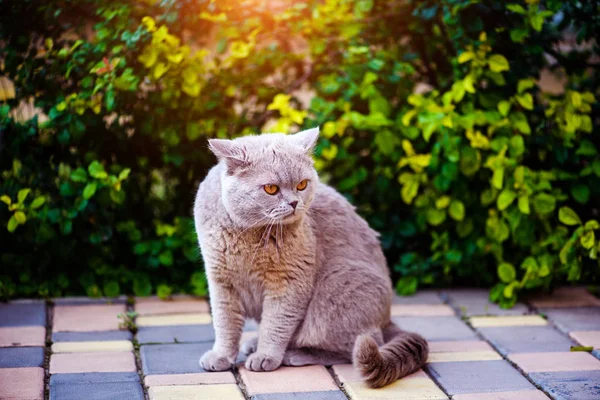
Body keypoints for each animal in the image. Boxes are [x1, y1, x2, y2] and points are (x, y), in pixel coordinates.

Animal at [192, 126, 426, 386]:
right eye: (271, 188)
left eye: (302, 184)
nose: (295, 202)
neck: (249, 235)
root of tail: (387, 320)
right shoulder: (221, 281)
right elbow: (225, 324)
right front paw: (221, 357)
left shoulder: (290, 281)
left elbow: (277, 323)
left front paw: (266, 357)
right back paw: (254, 343)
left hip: (336, 289)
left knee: (359, 344)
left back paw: (294, 354)